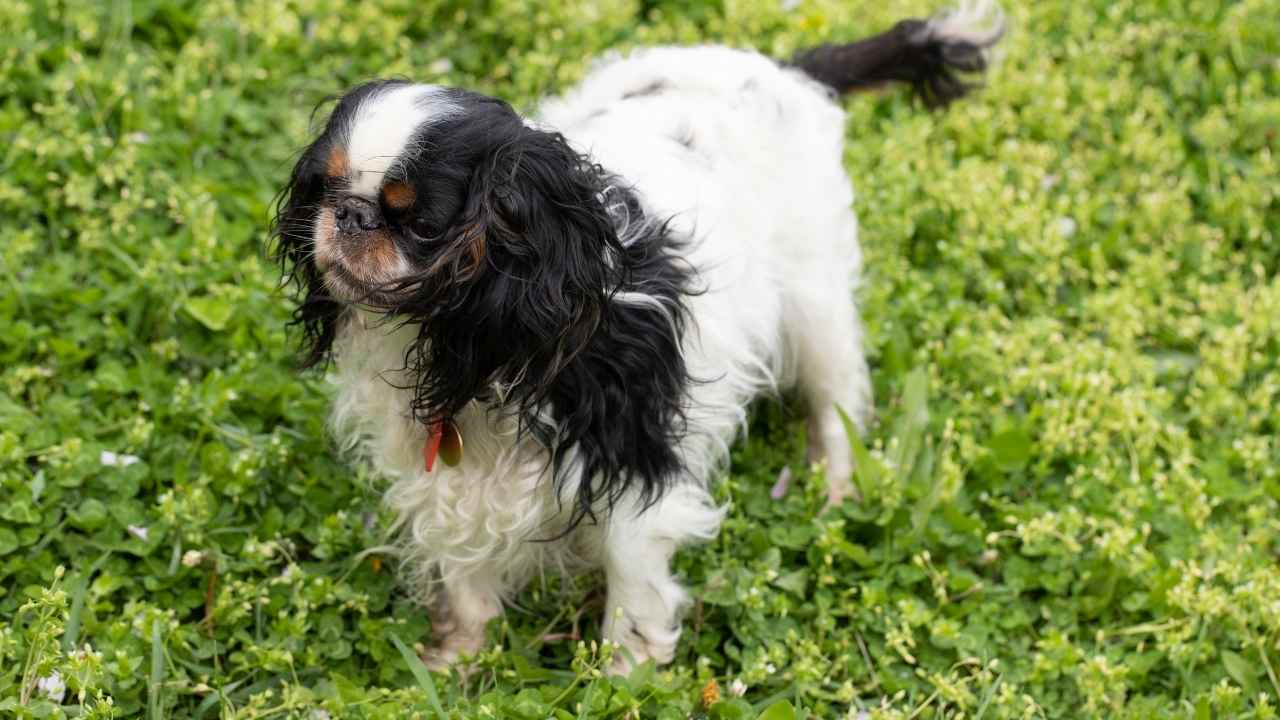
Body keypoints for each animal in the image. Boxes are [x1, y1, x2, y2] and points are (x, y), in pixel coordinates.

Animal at [275, 2, 1003, 671]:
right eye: (324, 187)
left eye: (419, 222)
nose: (348, 215)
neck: (492, 345)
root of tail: (783, 70)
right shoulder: (446, 479)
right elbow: (464, 571)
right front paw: (455, 661)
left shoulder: (633, 453)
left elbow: (631, 573)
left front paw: (625, 673)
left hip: (813, 296)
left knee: (837, 395)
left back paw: (834, 483)